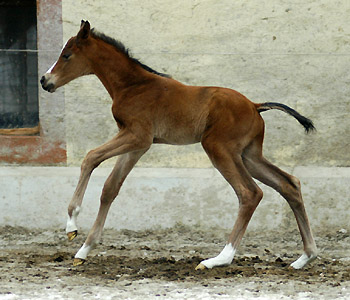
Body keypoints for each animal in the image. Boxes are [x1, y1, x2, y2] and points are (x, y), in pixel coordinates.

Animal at [40, 21, 318, 270]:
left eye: (66, 55)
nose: (45, 80)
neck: (133, 86)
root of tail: (255, 105)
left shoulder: (137, 135)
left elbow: (90, 157)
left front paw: (72, 225)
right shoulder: (138, 144)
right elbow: (110, 187)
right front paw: (84, 250)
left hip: (218, 148)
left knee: (250, 193)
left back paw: (219, 259)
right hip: (248, 154)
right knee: (289, 184)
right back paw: (305, 257)